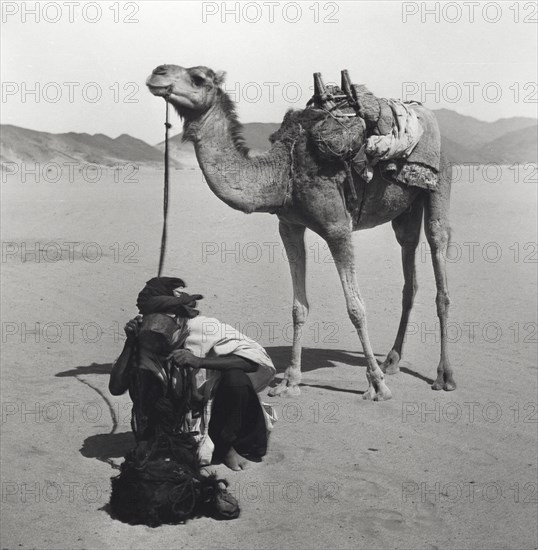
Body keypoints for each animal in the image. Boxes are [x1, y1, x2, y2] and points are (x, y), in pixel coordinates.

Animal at [146, 66, 452, 402]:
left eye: (199, 77)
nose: (158, 73)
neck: (284, 172)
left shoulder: (337, 227)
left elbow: (355, 307)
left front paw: (377, 385)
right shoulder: (289, 225)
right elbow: (298, 306)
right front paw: (290, 381)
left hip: (438, 184)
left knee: (438, 251)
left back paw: (443, 375)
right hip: (404, 212)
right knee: (409, 270)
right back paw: (393, 361)